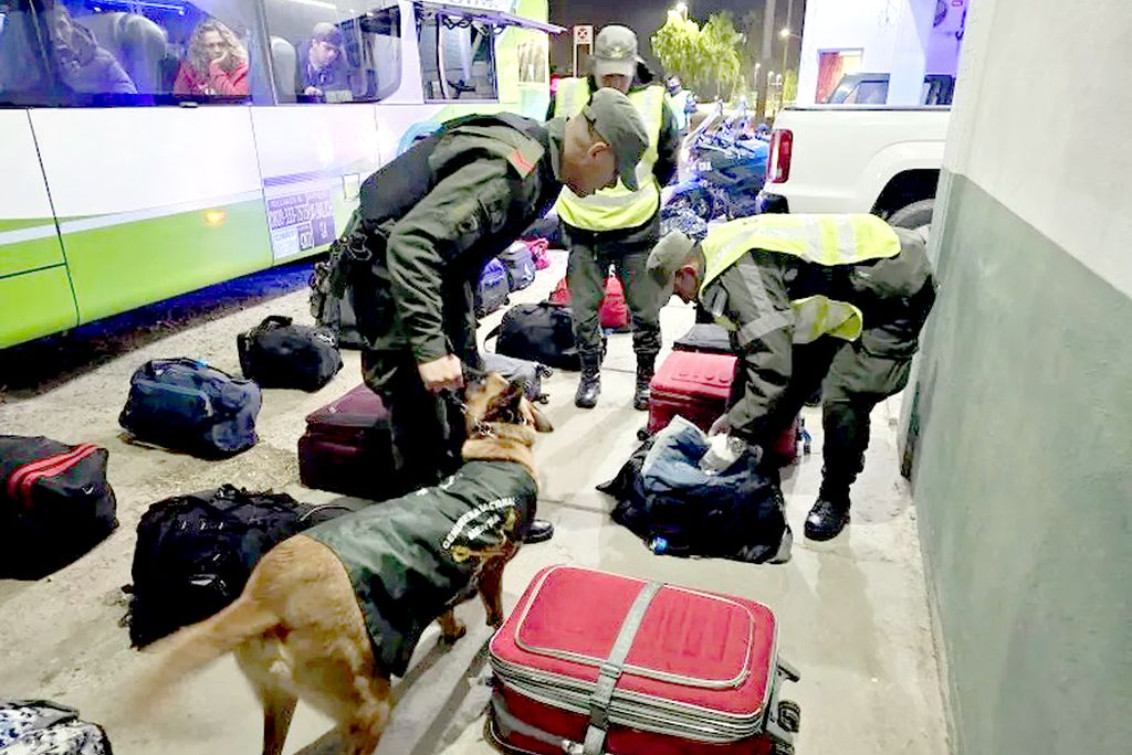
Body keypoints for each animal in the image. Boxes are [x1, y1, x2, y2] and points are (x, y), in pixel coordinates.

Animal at [134, 375, 550, 755]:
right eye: (479, 379)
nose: (457, 377)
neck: (499, 450)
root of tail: (266, 598)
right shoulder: (490, 572)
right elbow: (496, 612)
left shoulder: (434, 583)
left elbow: (445, 610)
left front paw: (453, 630)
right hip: (369, 708)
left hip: (279, 700)